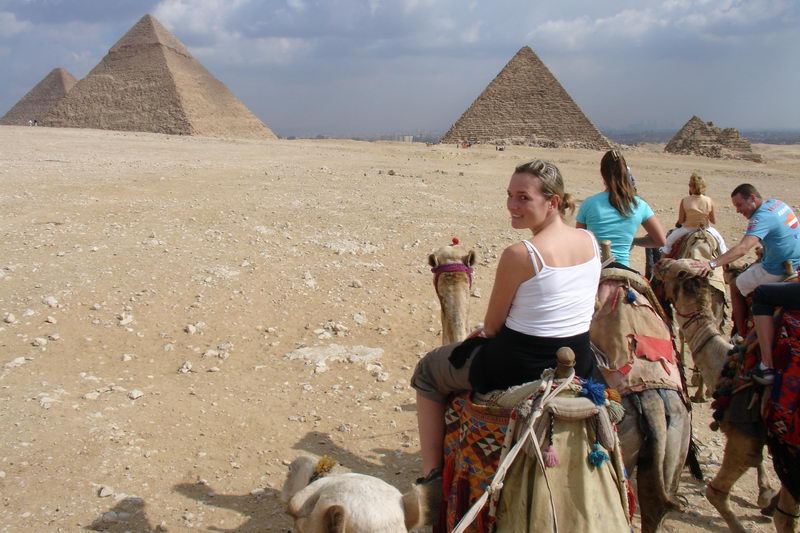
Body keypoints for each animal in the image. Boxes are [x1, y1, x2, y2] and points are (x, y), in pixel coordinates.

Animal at [652, 256, 796, 528]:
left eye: (673, 270)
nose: (660, 261)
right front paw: (766, 496)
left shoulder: (746, 433)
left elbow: (718, 492)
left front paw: (765, 499)